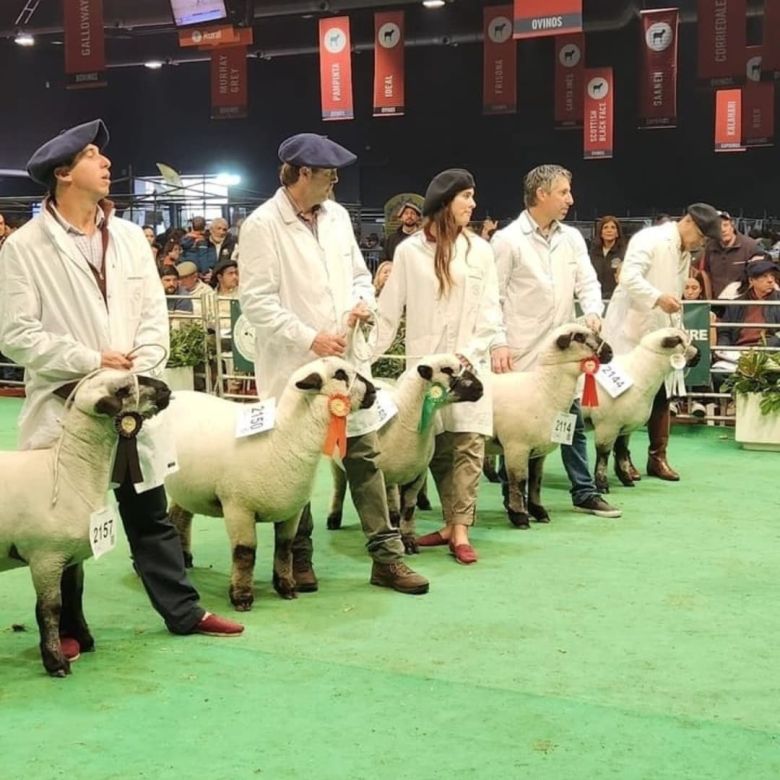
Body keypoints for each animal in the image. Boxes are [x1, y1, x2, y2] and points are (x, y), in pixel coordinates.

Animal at [0, 372, 170, 676]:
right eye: (123, 389)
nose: (165, 389)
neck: (70, 471)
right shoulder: (45, 558)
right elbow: (50, 608)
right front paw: (55, 661)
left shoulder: (71, 556)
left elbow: (74, 596)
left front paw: (85, 639)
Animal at [168, 356, 378, 612]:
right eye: (340, 375)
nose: (373, 391)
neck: (280, 440)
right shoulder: (238, 508)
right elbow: (245, 554)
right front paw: (241, 596)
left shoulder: (291, 511)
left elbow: (284, 549)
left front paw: (286, 587)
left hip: (186, 488)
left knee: (179, 517)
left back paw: (184, 558)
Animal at [322, 354, 482, 548]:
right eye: (447, 370)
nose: (480, 388)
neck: (405, 419)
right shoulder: (384, 475)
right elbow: (390, 510)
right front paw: (395, 538)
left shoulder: (416, 474)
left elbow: (408, 510)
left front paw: (408, 539)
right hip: (337, 462)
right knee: (339, 487)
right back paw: (333, 519)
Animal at [490, 322, 612, 532]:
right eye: (579, 337)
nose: (610, 352)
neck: (543, 389)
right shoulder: (516, 447)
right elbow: (519, 482)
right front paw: (520, 516)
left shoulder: (537, 451)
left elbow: (535, 481)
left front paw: (538, 511)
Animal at [580, 326, 696, 490]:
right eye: (679, 341)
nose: (699, 355)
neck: (639, 372)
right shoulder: (607, 426)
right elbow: (603, 455)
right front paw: (602, 484)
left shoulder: (623, 427)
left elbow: (621, 452)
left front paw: (626, 479)